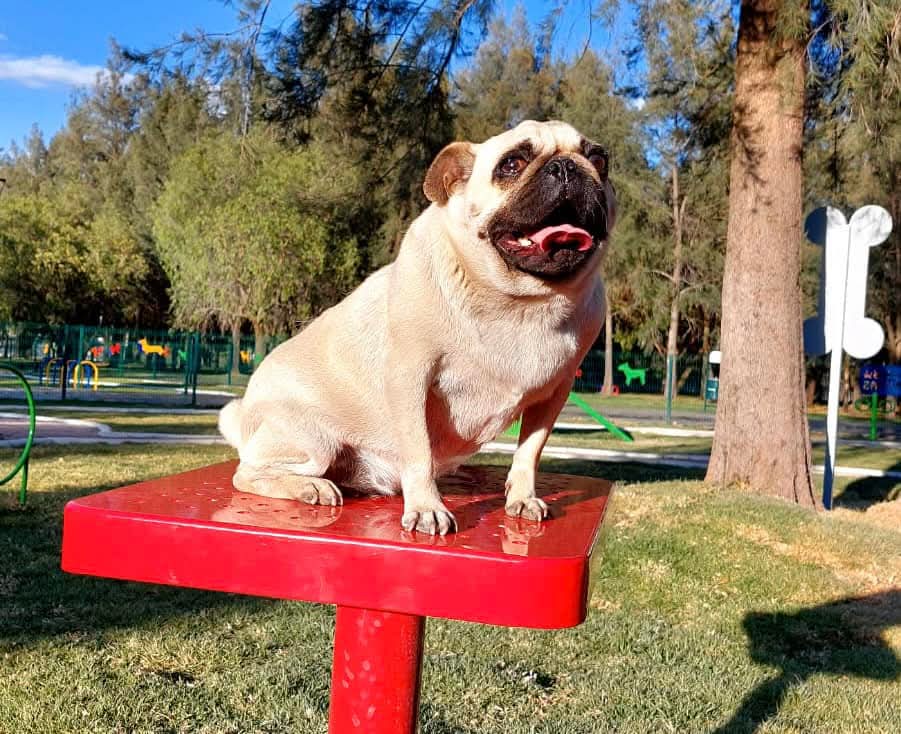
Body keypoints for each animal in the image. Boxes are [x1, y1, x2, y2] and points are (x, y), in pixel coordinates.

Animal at [218, 120, 616, 535]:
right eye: (511, 164)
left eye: (599, 159)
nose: (566, 166)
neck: (519, 302)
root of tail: (245, 417)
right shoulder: (409, 378)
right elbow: (419, 452)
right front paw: (427, 507)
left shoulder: (554, 394)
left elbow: (529, 452)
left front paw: (522, 498)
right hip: (313, 439)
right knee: (246, 473)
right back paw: (312, 487)